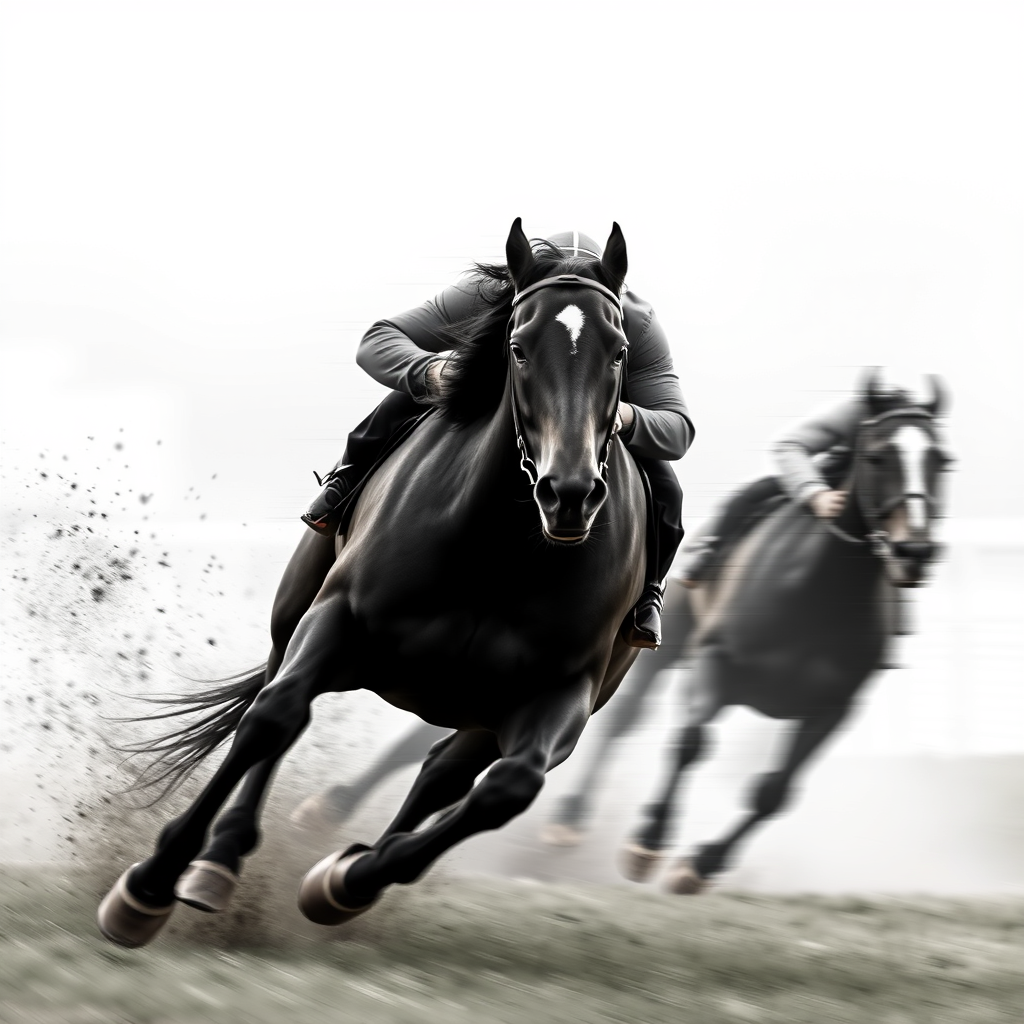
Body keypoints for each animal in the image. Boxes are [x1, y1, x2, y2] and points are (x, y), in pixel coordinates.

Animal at [96, 219, 649, 946]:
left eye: (619, 352)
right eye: (519, 349)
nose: (571, 494)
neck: (499, 552)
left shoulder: (561, 691)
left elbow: (507, 789)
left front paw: (347, 879)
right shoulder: (338, 616)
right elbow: (274, 716)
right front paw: (149, 885)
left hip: (481, 712)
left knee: (445, 776)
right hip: (295, 611)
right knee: (274, 700)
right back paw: (220, 858)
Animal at [610, 375, 952, 893]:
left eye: (941, 461)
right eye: (877, 457)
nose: (913, 551)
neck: (814, 597)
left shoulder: (833, 708)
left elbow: (775, 791)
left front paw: (700, 865)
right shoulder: (717, 659)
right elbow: (692, 741)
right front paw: (647, 841)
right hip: (668, 639)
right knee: (624, 719)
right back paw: (567, 820)